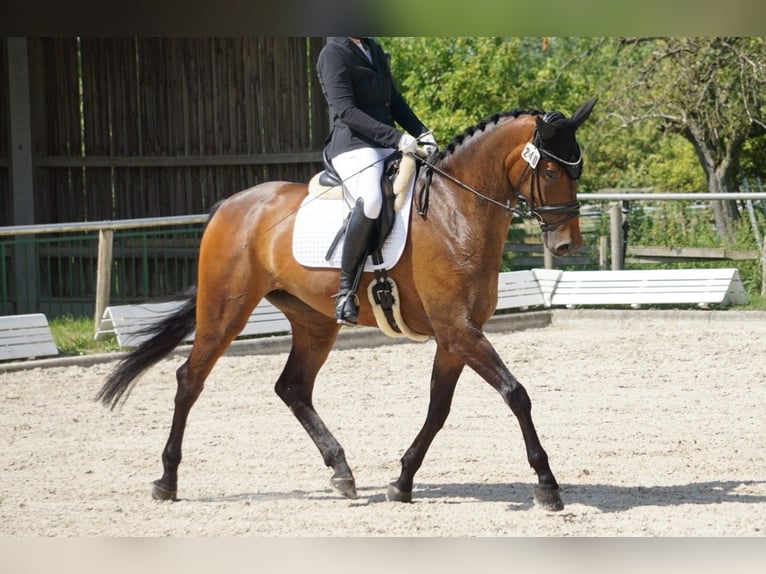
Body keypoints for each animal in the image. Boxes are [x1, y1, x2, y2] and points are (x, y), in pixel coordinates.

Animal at [97, 98, 597, 511]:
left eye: (576, 171)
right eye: (551, 172)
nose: (567, 245)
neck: (456, 211)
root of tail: (230, 206)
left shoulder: (456, 335)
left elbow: (438, 409)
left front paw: (402, 481)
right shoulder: (459, 330)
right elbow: (516, 394)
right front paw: (547, 484)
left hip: (314, 321)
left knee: (293, 387)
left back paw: (342, 471)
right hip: (225, 311)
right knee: (190, 379)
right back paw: (166, 481)